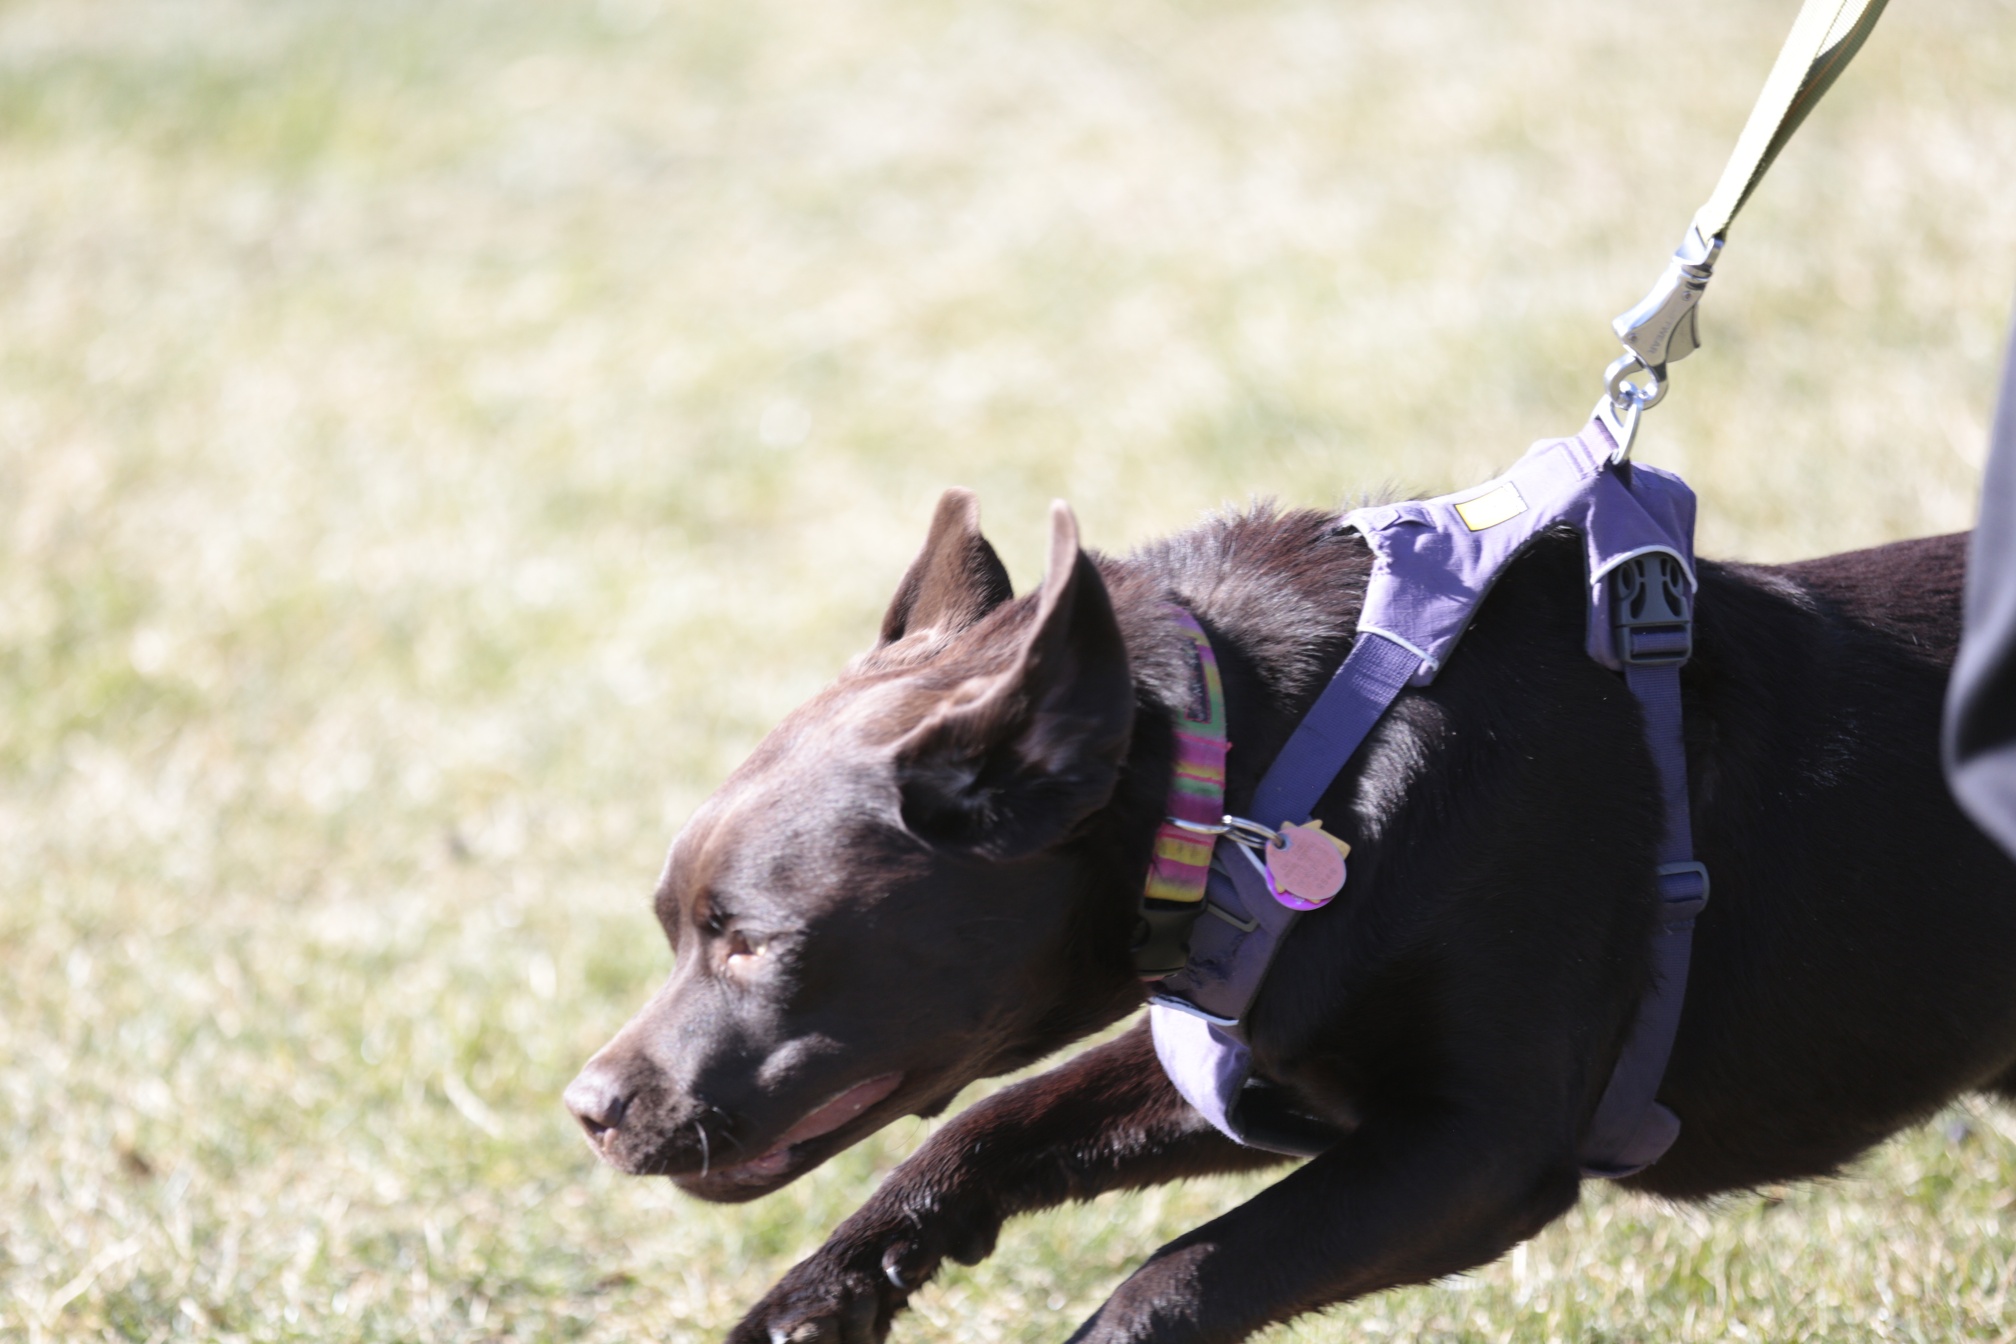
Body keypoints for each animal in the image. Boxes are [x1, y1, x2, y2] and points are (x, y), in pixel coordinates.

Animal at [565, 485, 2015, 1343]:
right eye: (676, 926)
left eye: (753, 941)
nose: (587, 1109)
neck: (1272, 770)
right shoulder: (1279, 1080)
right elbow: (989, 1128)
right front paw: (823, 1297)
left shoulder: (1477, 1152)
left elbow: (1177, 1278)